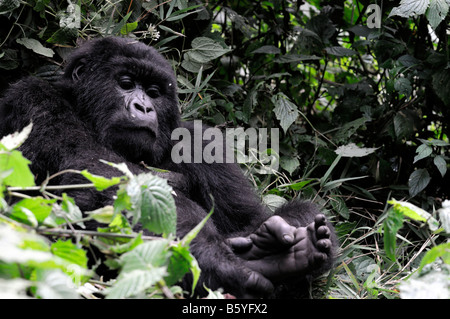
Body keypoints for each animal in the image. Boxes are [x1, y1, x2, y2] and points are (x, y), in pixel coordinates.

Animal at [0, 37, 336, 300]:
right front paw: (215, 259)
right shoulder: (33, 97)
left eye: (154, 92)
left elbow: (251, 218)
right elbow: (89, 170)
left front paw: (286, 243)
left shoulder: (200, 141)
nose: (144, 107)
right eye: (126, 84)